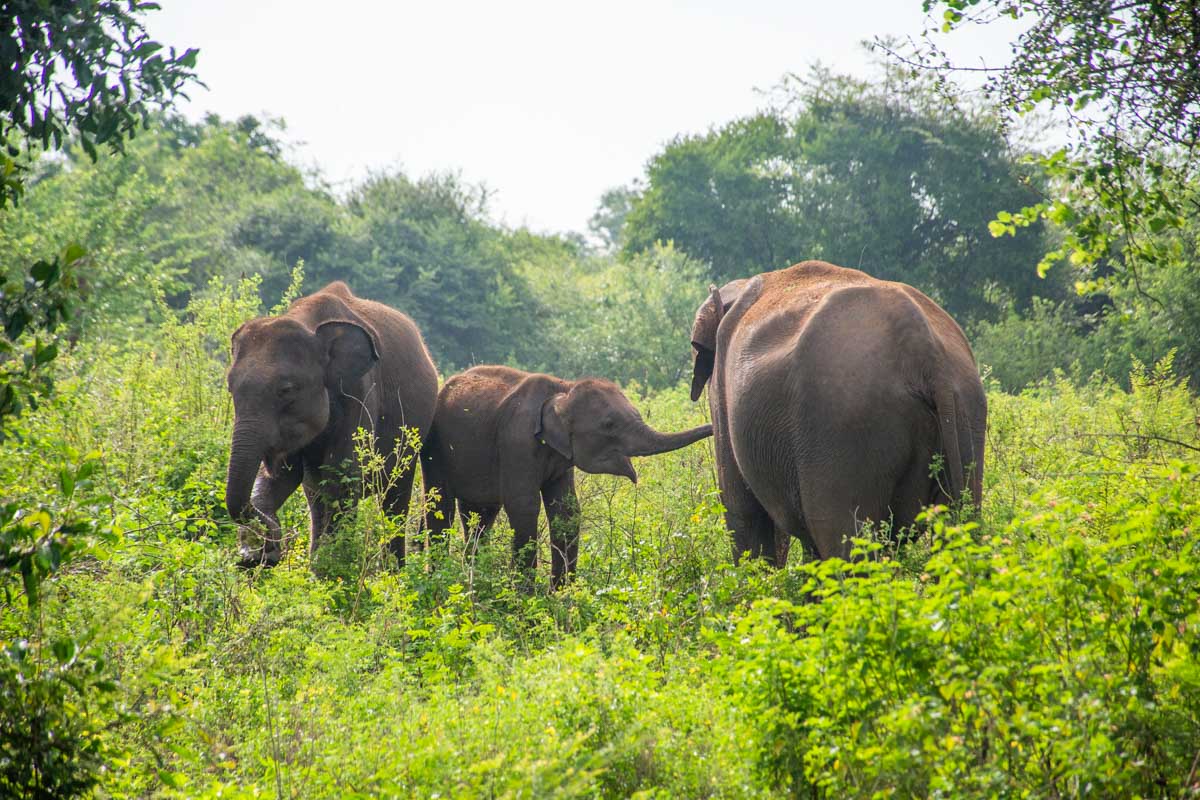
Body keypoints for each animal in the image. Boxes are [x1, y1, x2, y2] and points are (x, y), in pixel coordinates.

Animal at [224, 281, 438, 567]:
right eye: (230, 388)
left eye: (286, 390)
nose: (271, 546)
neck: (308, 323)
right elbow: (282, 479)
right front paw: (258, 554)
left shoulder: (360, 392)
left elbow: (342, 478)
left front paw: (330, 568)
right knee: (315, 497)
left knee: (394, 498)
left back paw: (393, 571)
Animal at [421, 365, 713, 588]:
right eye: (609, 425)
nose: (714, 426)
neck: (563, 389)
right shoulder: (516, 442)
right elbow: (524, 506)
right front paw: (526, 597)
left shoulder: (561, 458)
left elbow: (567, 511)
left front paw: (562, 595)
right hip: (435, 446)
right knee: (441, 506)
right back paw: (441, 580)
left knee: (479, 514)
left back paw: (475, 580)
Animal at [690, 260, 986, 566]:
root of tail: (925, 352)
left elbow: (742, 514)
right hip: (966, 414)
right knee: (958, 524)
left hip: (843, 429)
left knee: (842, 538)